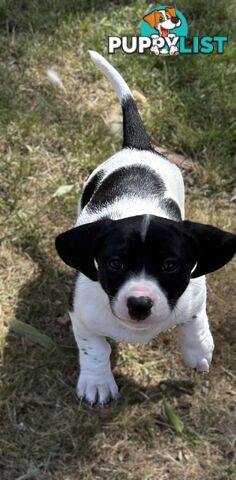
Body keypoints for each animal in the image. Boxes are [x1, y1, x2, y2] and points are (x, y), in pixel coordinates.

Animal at [55, 51, 236, 404]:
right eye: (114, 263)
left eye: (170, 265)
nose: (139, 303)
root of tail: (137, 147)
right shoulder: (80, 315)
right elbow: (94, 348)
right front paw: (97, 381)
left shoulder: (195, 291)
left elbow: (194, 320)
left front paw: (198, 349)